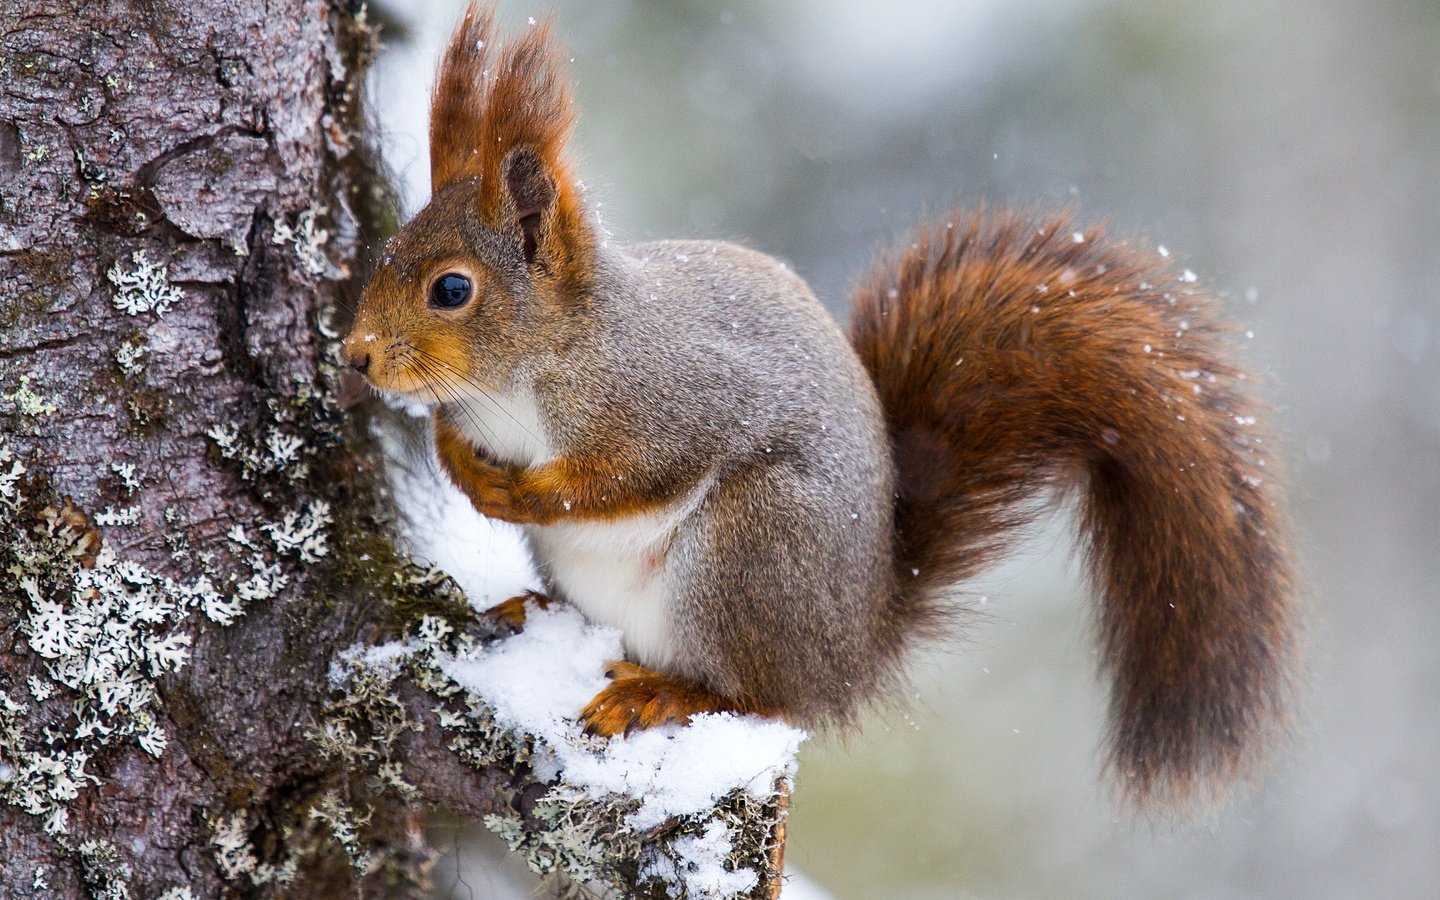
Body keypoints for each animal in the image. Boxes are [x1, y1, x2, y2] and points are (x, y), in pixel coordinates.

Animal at [342, 1, 1301, 812]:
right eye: (384, 251)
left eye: (452, 289)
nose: (355, 357)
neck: (523, 377)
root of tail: (850, 651)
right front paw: (461, 467)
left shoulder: (672, 402)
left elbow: (621, 478)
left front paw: (523, 491)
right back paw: (539, 615)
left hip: (753, 548)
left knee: (757, 698)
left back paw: (664, 689)